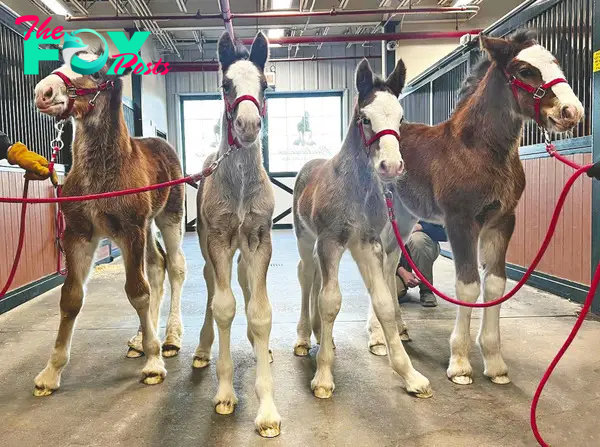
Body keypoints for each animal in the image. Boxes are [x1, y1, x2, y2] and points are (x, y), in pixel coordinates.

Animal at [292, 58, 428, 400]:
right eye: (366, 118)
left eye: (401, 117)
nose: (391, 166)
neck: (355, 191)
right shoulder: (329, 242)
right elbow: (330, 302)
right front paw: (323, 378)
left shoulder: (368, 244)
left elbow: (384, 302)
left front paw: (411, 376)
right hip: (306, 240)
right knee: (307, 277)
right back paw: (303, 338)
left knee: (316, 280)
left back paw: (321, 336)